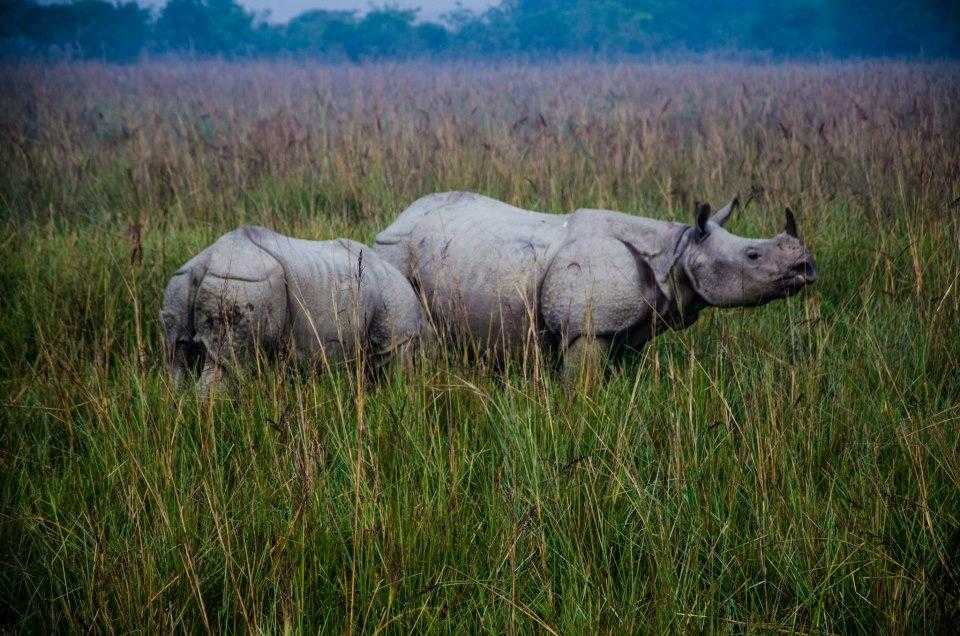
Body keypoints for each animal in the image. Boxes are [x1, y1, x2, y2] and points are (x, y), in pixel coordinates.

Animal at [161, 226, 427, 395]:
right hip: (241, 282)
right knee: (229, 360)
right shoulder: (397, 339)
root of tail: (205, 262)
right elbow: (398, 375)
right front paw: (401, 398)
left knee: (177, 357)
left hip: (183, 282)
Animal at [373, 191, 816, 375]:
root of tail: (396, 218)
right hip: (394, 253)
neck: (678, 249)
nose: (807, 266)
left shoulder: (627, 329)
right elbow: (582, 387)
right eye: (753, 256)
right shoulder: (586, 328)